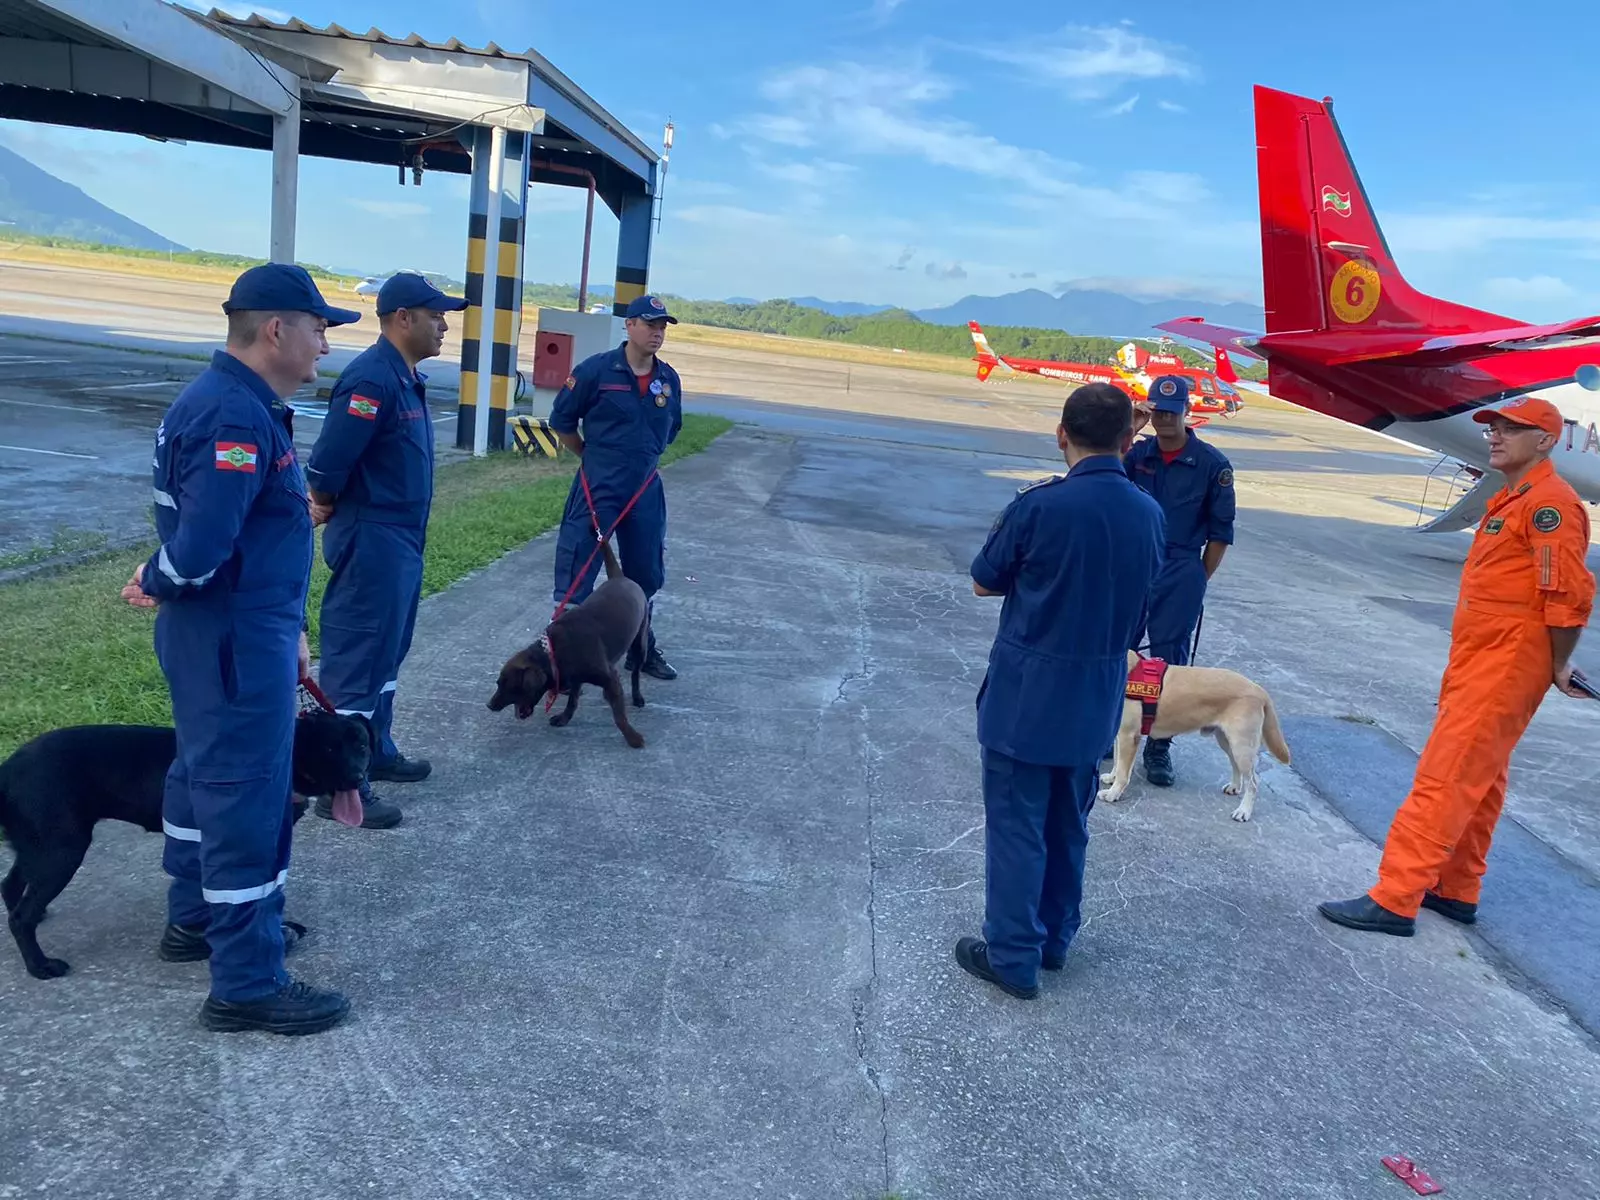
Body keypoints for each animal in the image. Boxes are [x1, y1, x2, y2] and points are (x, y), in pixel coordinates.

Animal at [2, 710, 374, 979]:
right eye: (329, 748)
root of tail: (7, 770)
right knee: (21, 915)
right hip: (61, 850)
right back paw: (40, 966)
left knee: (11, 886)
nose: (357, 778)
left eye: (362, 746)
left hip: (39, 846)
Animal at [483, 540, 646, 748]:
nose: (489, 705)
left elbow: (619, 716)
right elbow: (572, 701)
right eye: (498, 683)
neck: (552, 653)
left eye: (509, 685)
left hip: (641, 642)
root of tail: (620, 577)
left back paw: (637, 696)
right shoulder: (575, 677)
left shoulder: (609, 677)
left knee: (635, 672)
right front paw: (564, 718)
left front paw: (632, 737)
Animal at [1100, 652, 1286, 825]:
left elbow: (1123, 772)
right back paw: (1234, 787)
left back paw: (1244, 811)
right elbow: (1117, 762)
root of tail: (1258, 689)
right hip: (1228, 742)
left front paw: (1113, 793)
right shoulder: (1120, 735)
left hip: (1242, 747)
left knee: (1253, 782)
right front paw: (1111, 778)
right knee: (1236, 766)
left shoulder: (1129, 736)